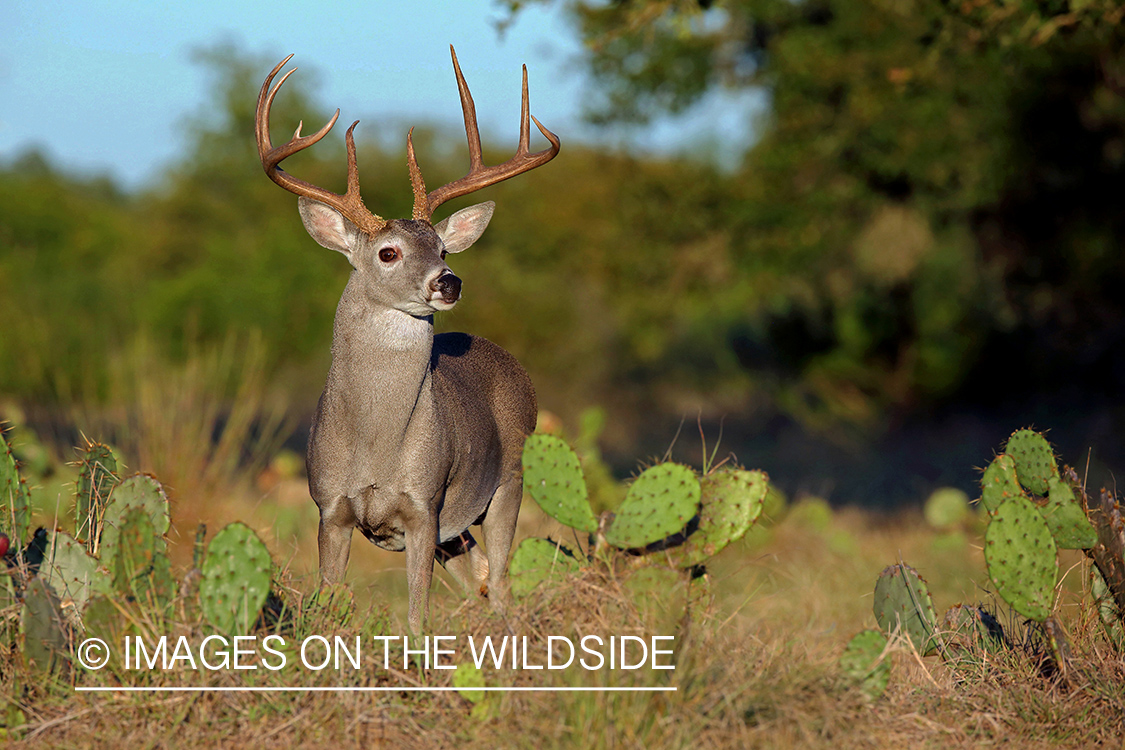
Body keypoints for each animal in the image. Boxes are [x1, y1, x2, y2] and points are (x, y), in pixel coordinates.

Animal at [253, 48, 555, 634]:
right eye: (388, 252)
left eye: (443, 247)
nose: (448, 281)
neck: (376, 446)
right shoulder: (329, 508)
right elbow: (328, 604)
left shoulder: (425, 507)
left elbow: (417, 617)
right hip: (458, 529)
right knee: (481, 574)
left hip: (510, 479)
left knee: (502, 582)